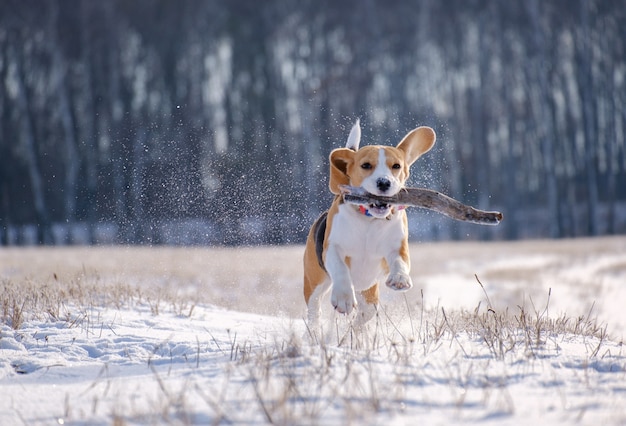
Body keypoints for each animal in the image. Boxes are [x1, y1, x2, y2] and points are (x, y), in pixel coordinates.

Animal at [302, 120, 434, 326]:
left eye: (396, 166)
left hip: (368, 295)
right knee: (315, 310)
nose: (384, 183)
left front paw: (399, 278)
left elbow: (400, 261)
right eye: (366, 165)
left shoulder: (398, 247)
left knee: (365, 315)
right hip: (313, 282)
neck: (369, 220)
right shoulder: (332, 248)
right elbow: (340, 268)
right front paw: (344, 298)